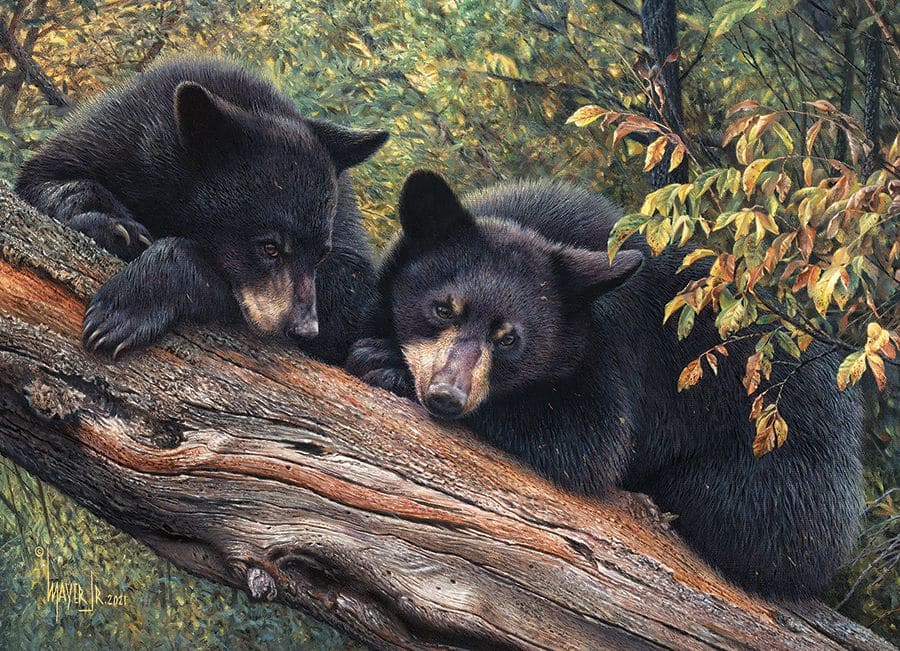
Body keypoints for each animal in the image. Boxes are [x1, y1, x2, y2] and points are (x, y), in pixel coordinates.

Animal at [16, 57, 387, 364]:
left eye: (320, 254)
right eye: (269, 247)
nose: (305, 329)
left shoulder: (342, 230)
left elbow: (351, 297)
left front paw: (122, 310)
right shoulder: (118, 136)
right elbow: (42, 180)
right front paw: (116, 227)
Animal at [346, 170, 864, 598]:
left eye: (510, 338)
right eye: (442, 308)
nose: (446, 396)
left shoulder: (614, 348)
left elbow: (588, 439)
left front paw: (385, 362)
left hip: (788, 474)